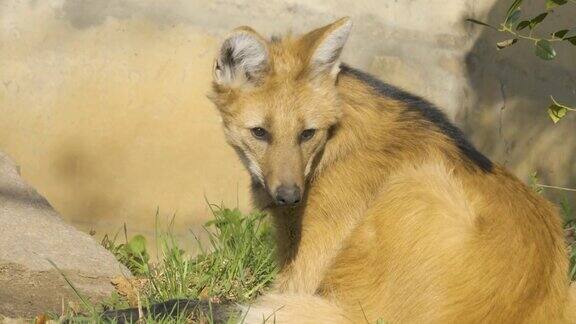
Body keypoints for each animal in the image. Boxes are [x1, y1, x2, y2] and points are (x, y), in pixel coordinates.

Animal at [103, 18, 576, 324]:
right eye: (260, 132)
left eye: (307, 133)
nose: (290, 196)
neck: (331, 147)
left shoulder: (306, 274)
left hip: (415, 186)